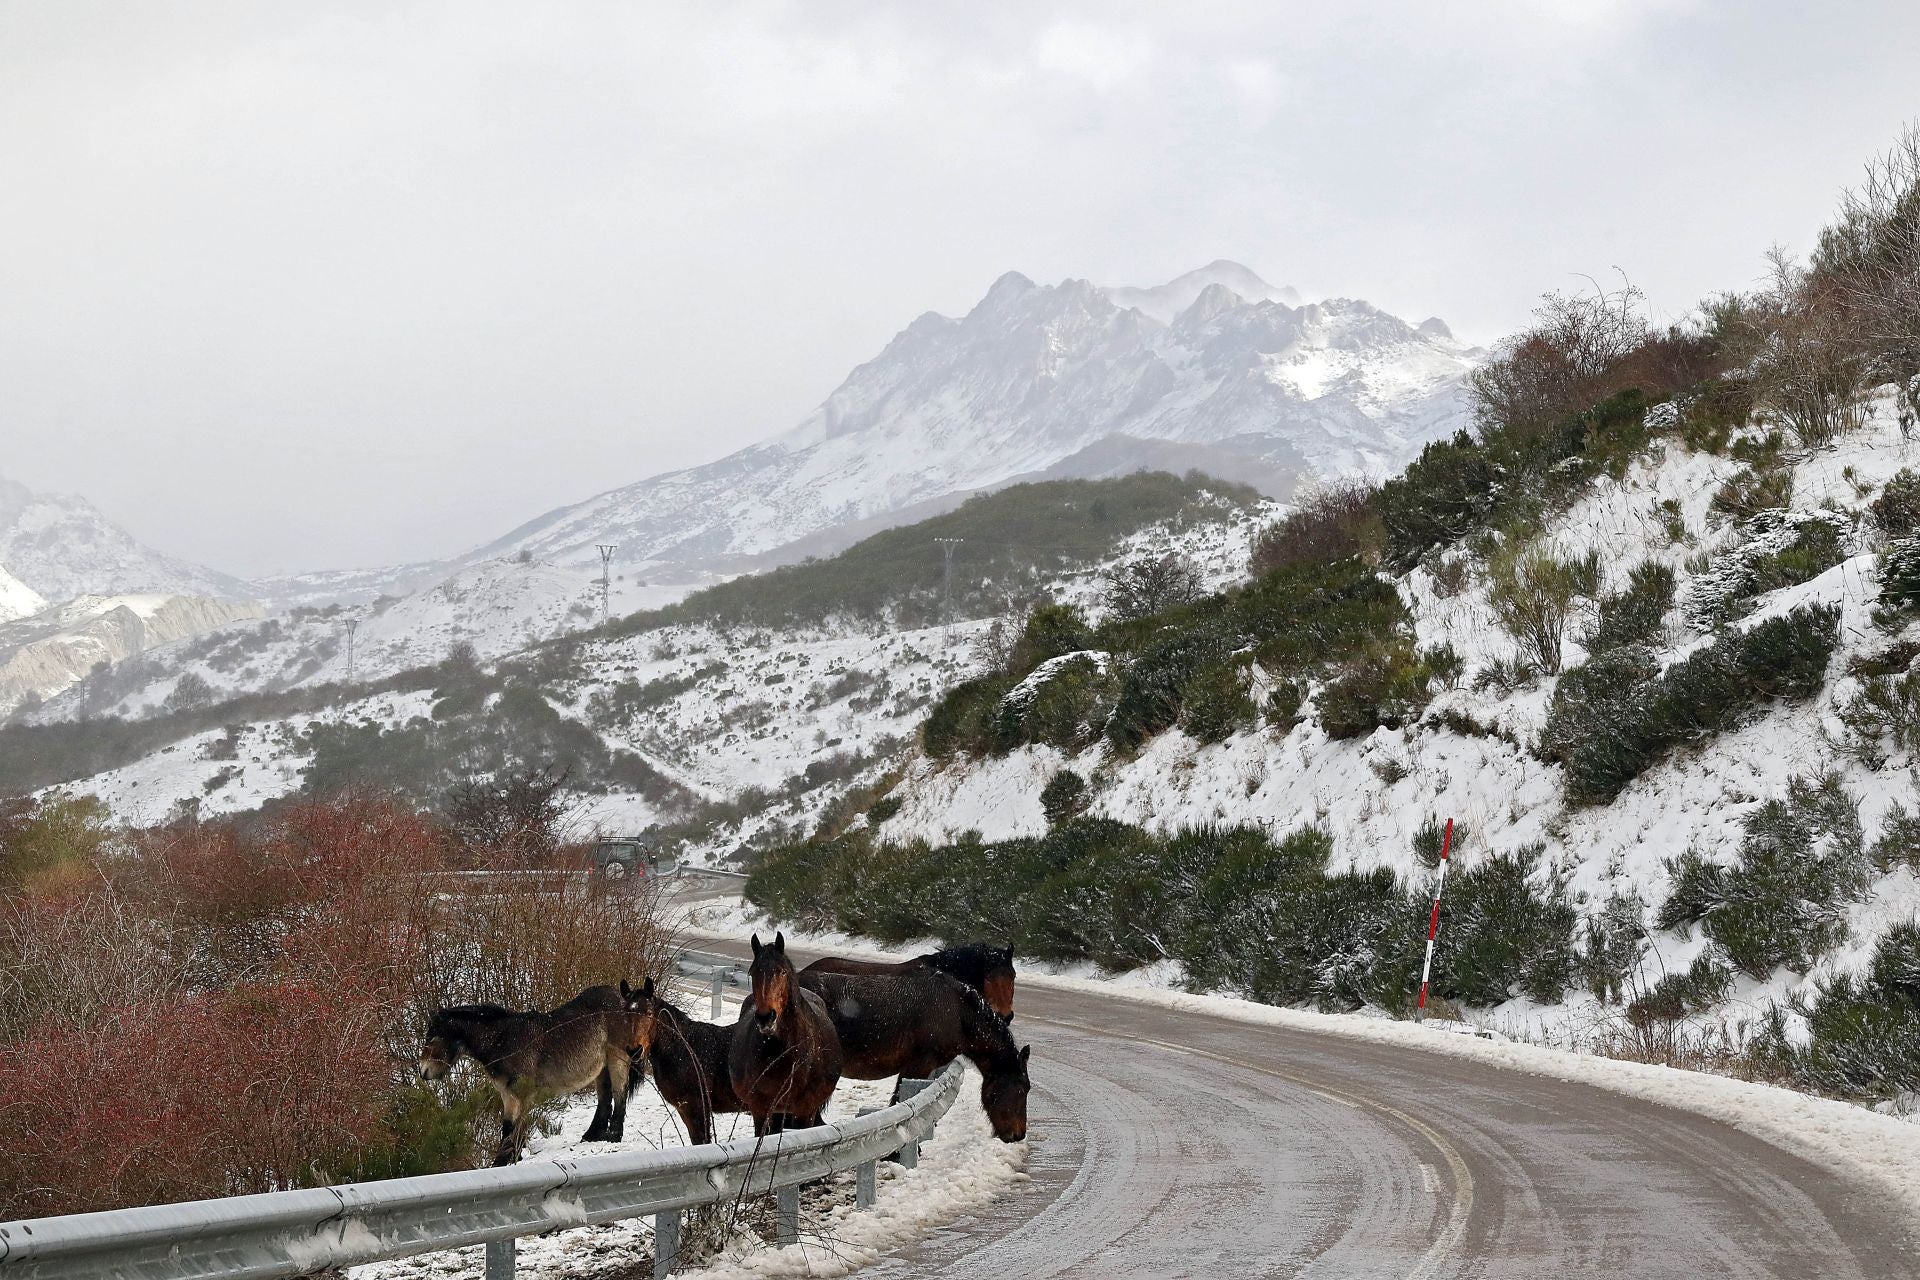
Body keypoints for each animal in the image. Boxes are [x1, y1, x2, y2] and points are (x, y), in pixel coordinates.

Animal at [416, 990, 641, 1166]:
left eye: (431, 1037)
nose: (423, 1071)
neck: (503, 1041)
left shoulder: (519, 1095)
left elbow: (512, 1128)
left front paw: (502, 1161)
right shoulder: (508, 1094)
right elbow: (512, 1126)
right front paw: (513, 1157)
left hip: (617, 1058)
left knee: (619, 1094)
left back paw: (614, 1136)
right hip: (601, 1067)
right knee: (605, 1099)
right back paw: (592, 1136)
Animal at [622, 974, 741, 1143]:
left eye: (649, 1013)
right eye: (624, 1013)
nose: (634, 1050)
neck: (685, 1050)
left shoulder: (697, 1108)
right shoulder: (684, 1110)